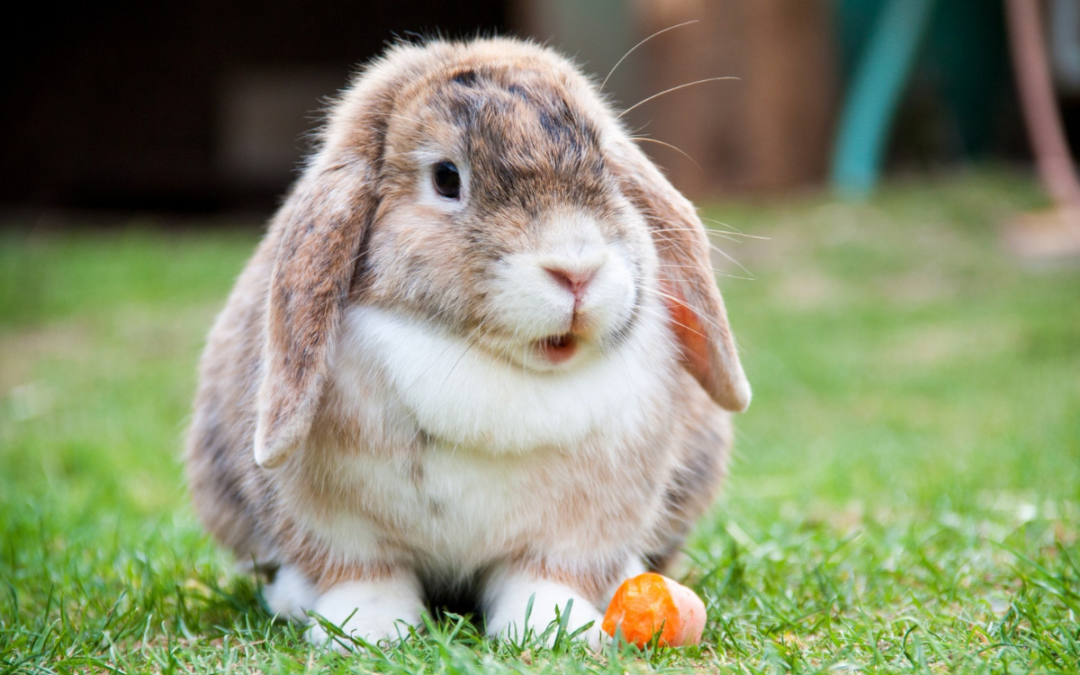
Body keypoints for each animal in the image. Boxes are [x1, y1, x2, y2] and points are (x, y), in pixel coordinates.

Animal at [185, 36, 750, 651]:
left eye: (604, 162)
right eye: (446, 178)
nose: (577, 271)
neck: (490, 364)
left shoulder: (577, 531)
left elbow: (545, 578)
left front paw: (554, 631)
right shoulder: (338, 527)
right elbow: (364, 576)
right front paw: (367, 632)